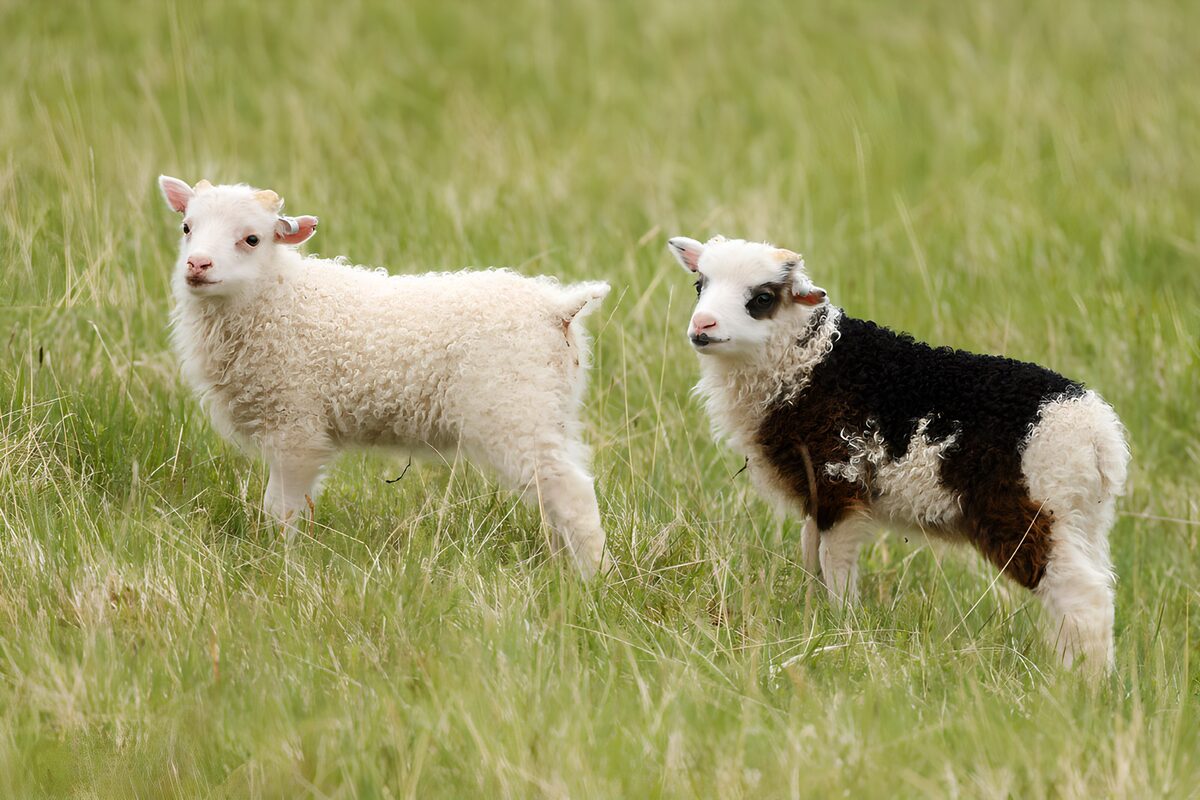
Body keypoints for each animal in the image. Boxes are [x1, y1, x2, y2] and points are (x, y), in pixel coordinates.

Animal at [157, 176, 610, 577]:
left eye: (251, 239)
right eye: (186, 227)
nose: (197, 264)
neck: (279, 297)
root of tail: (558, 308)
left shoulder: (295, 427)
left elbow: (280, 509)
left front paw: (279, 562)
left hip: (515, 410)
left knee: (572, 492)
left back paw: (595, 578)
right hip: (548, 409)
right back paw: (563, 571)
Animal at [668, 235, 1129, 675]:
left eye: (762, 298)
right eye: (700, 285)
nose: (702, 325)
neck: (808, 362)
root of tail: (1099, 435)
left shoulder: (840, 476)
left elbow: (835, 562)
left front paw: (841, 627)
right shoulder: (816, 490)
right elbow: (809, 553)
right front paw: (811, 618)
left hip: (1030, 507)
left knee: (1083, 596)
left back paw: (1080, 686)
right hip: (1080, 518)